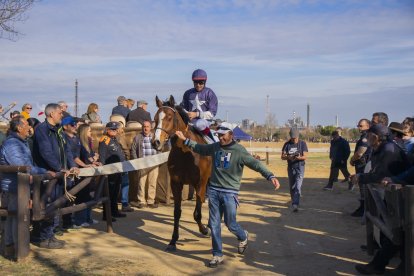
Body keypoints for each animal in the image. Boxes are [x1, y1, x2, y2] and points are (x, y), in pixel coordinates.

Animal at [152, 95, 210, 252]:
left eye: (169, 117)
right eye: (155, 118)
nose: (155, 142)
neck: (186, 152)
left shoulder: (199, 183)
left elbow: (197, 213)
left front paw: (204, 230)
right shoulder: (176, 183)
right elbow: (177, 213)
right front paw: (173, 241)